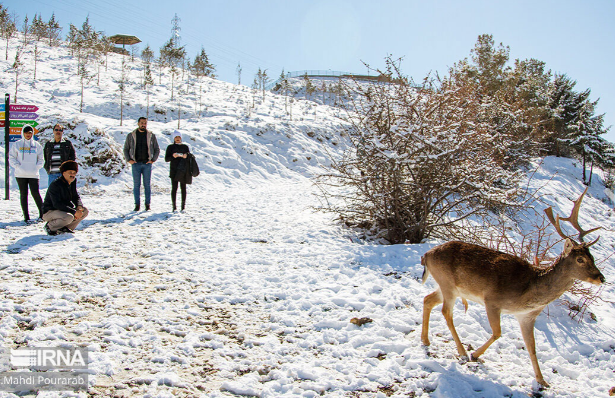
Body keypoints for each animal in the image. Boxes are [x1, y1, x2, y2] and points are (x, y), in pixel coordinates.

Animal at [422, 188, 604, 388]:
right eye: (580, 259)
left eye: (592, 257)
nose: (601, 278)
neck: (529, 292)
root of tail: (427, 255)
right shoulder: (492, 301)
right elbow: (497, 332)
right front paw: (475, 354)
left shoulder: (527, 316)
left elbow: (532, 347)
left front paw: (542, 381)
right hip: (448, 285)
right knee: (446, 312)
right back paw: (462, 351)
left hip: (445, 286)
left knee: (427, 300)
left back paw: (426, 340)